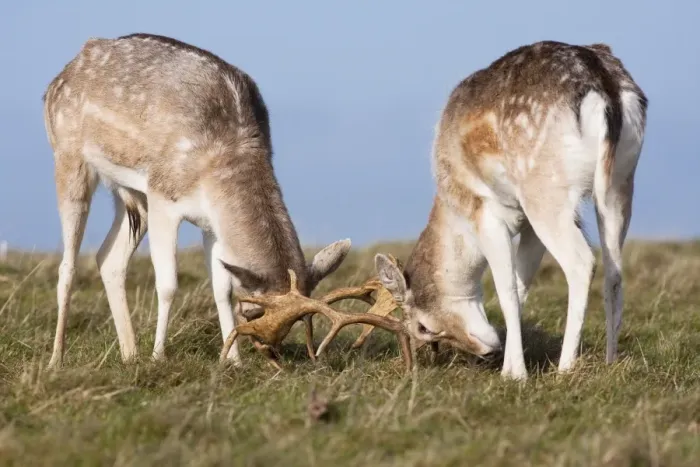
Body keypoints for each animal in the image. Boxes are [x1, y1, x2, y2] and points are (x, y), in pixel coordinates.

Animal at [42, 33, 352, 368]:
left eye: (297, 323)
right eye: (255, 310)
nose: (270, 353)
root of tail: (57, 80)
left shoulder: (211, 224)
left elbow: (221, 289)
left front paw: (232, 361)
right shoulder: (163, 195)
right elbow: (168, 284)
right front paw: (159, 356)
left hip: (132, 195)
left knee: (108, 258)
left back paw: (130, 354)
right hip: (70, 159)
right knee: (67, 265)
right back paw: (57, 359)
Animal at [371, 41, 648, 380]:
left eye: (422, 328)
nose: (486, 351)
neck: (454, 210)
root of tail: (602, 83)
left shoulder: (486, 213)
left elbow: (507, 288)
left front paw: (514, 374)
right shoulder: (528, 225)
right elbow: (522, 283)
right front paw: (510, 364)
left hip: (544, 192)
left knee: (582, 262)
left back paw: (565, 368)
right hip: (621, 183)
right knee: (615, 270)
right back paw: (610, 362)